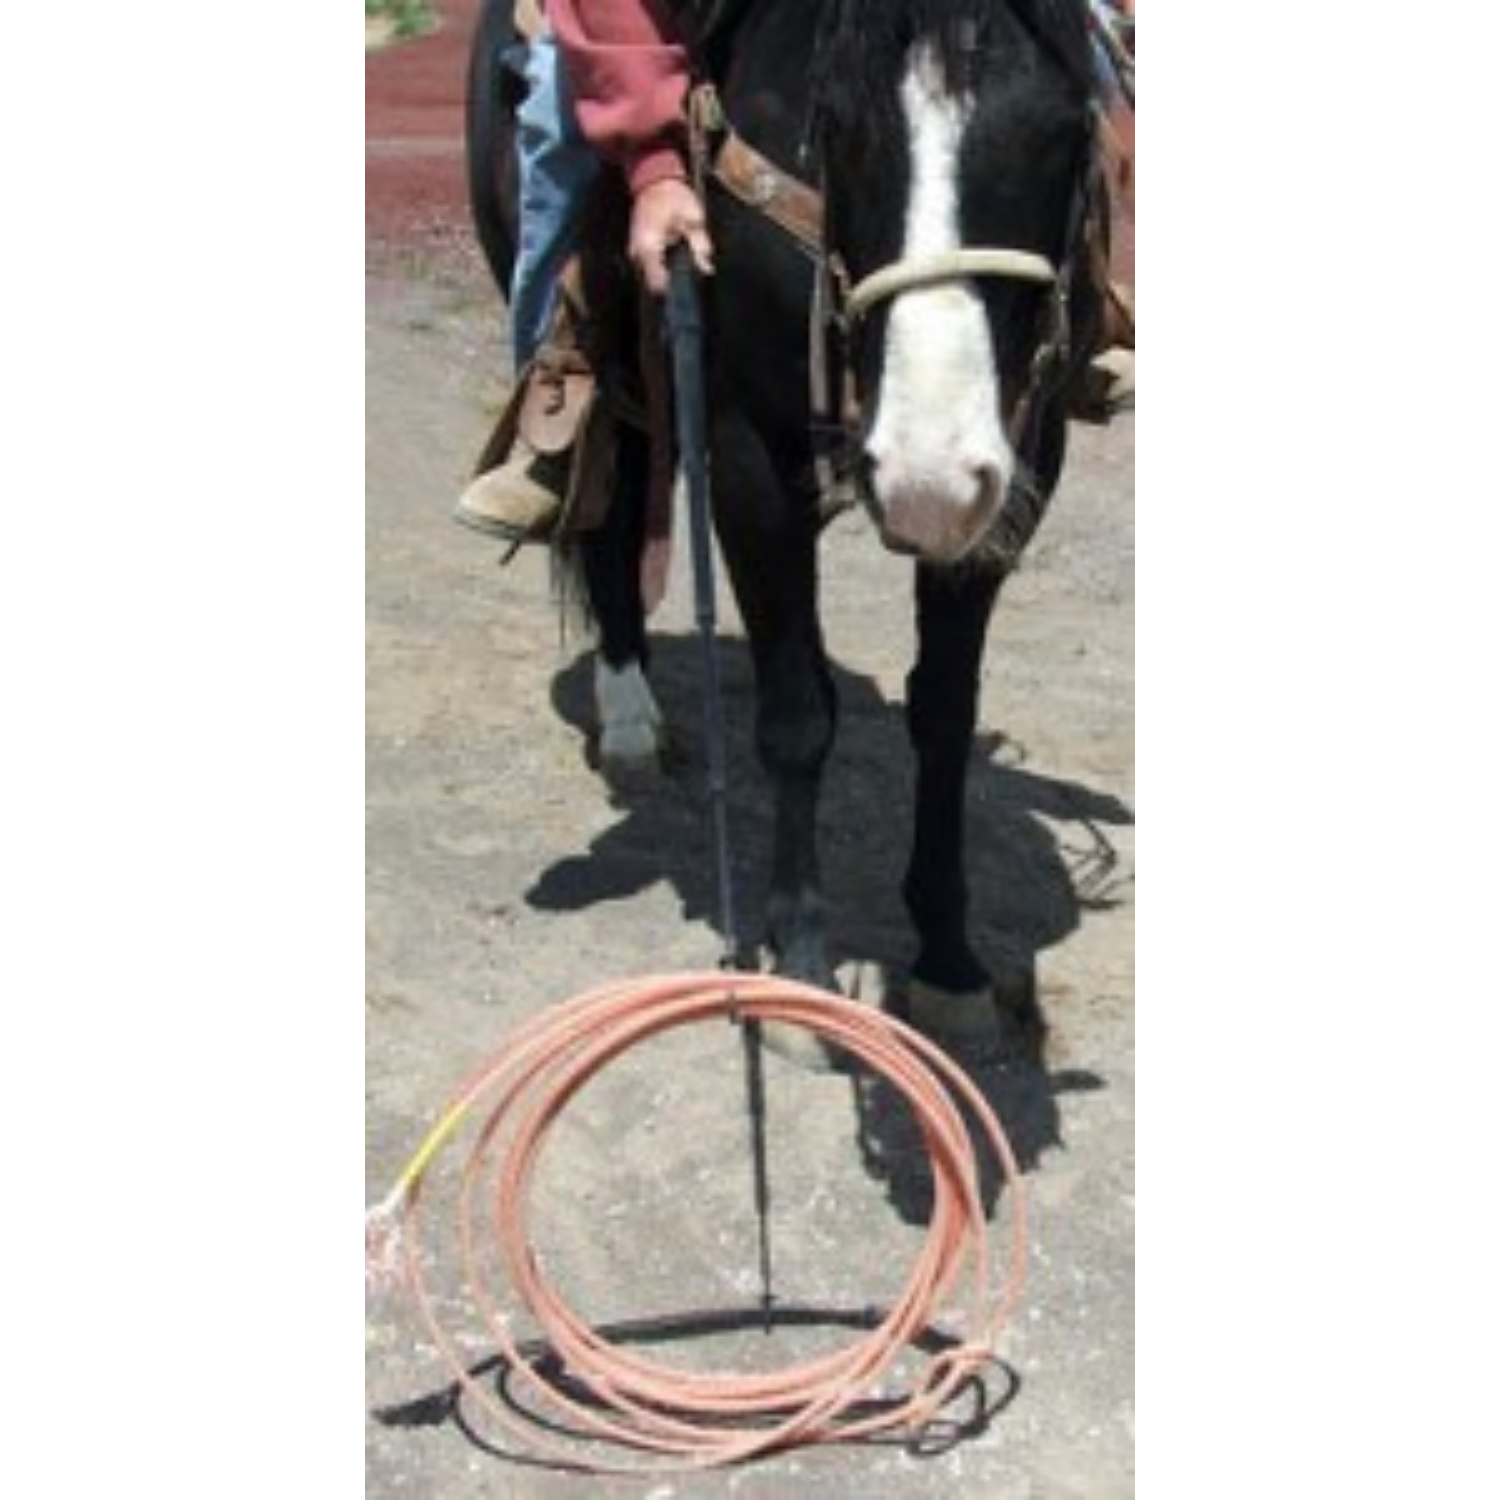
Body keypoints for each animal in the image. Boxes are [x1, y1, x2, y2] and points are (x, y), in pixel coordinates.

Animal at [468, 0, 1108, 1047]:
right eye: (838, 124)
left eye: (1066, 129)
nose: (925, 476)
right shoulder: (750, 461)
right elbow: (799, 714)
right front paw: (803, 971)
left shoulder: (1022, 460)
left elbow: (944, 712)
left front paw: (950, 960)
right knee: (610, 509)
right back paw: (632, 720)